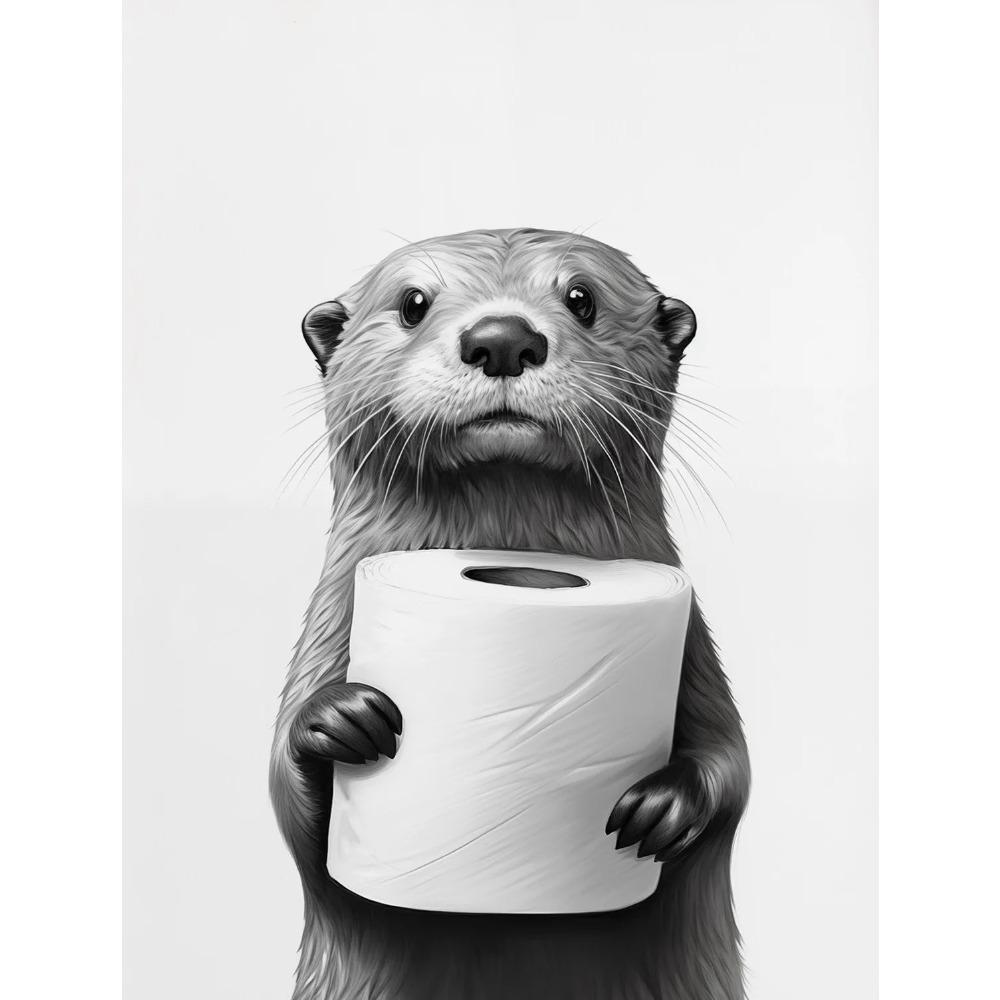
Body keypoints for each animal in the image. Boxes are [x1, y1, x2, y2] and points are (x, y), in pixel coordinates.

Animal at [271, 228, 750, 1000]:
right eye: (413, 303)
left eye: (582, 298)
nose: (501, 338)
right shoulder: (327, 627)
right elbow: (289, 804)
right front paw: (339, 719)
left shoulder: (695, 651)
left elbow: (732, 765)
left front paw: (664, 806)